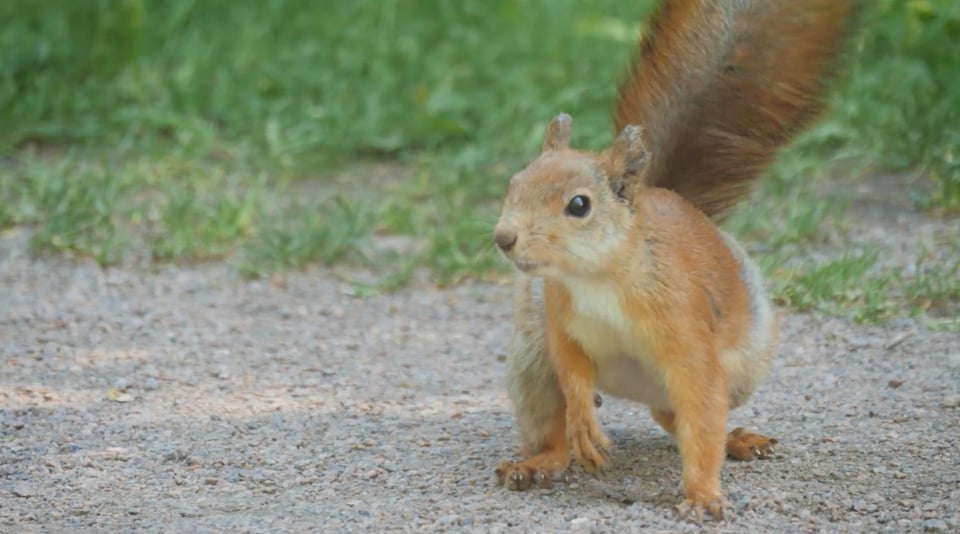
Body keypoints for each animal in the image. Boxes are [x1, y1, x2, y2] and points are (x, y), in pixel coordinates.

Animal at [491, 0, 856, 521]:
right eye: (513, 184)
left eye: (579, 205)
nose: (504, 237)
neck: (599, 279)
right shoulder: (560, 320)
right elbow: (573, 371)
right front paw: (584, 424)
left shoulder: (684, 328)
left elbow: (699, 405)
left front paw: (702, 495)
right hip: (531, 359)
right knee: (563, 418)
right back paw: (540, 462)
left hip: (741, 370)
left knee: (686, 414)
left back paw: (736, 441)